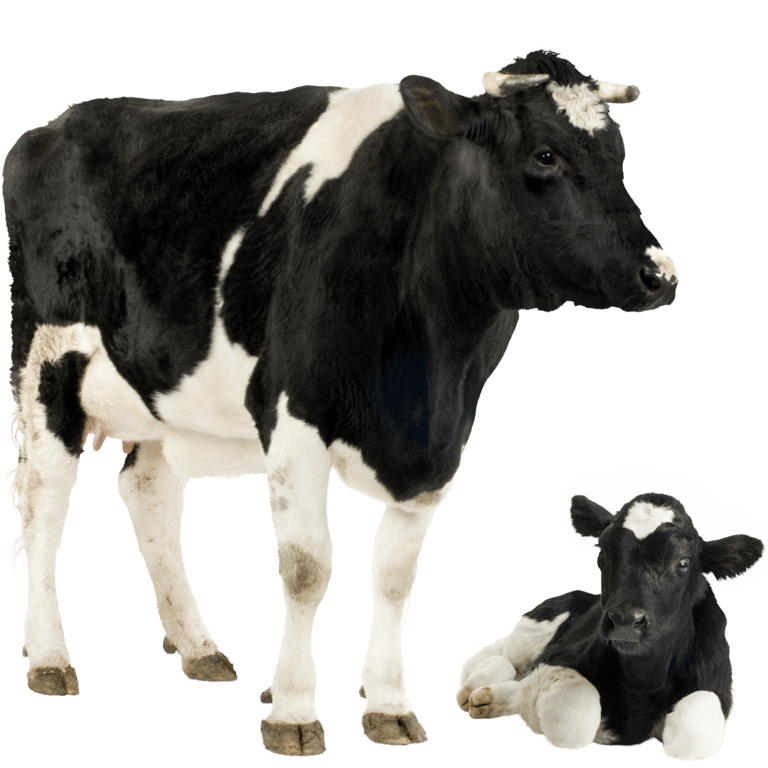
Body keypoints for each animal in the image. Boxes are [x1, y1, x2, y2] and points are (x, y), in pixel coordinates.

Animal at [2, 49, 677, 757]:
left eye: (618, 154)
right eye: (545, 155)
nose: (659, 275)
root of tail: (59, 123)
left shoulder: (441, 442)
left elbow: (395, 575)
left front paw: (387, 704)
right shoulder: (295, 414)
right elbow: (306, 567)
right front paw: (293, 710)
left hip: (160, 386)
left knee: (148, 489)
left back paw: (197, 646)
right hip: (47, 362)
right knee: (46, 501)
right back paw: (48, 657)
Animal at [456, 490, 766, 761]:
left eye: (683, 563)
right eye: (603, 553)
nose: (626, 621)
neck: (643, 678)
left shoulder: (718, 688)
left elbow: (694, 731)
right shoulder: (557, 657)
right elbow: (575, 716)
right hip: (533, 628)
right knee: (502, 658)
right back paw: (477, 691)